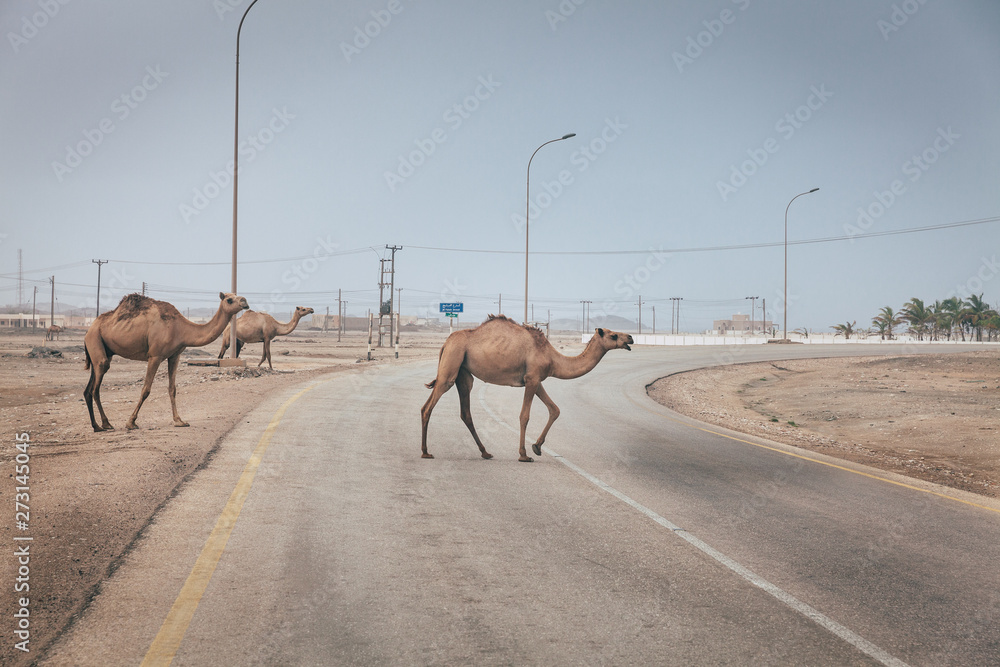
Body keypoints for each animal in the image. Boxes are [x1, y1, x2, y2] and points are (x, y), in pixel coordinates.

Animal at [86, 292, 250, 434]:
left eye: (237, 296)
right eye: (229, 299)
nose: (244, 301)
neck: (181, 329)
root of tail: (89, 330)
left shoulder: (174, 356)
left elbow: (172, 389)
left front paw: (179, 421)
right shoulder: (155, 356)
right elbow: (146, 389)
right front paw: (131, 422)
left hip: (103, 351)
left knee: (88, 389)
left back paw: (97, 425)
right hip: (96, 341)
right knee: (96, 387)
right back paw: (105, 424)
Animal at [420, 316, 632, 462]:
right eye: (613, 335)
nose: (630, 337)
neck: (552, 357)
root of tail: (446, 343)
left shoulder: (536, 380)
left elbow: (555, 409)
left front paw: (537, 447)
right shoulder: (532, 379)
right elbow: (524, 416)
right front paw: (524, 454)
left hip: (463, 374)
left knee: (465, 412)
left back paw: (486, 452)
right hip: (451, 365)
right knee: (427, 407)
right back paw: (426, 452)